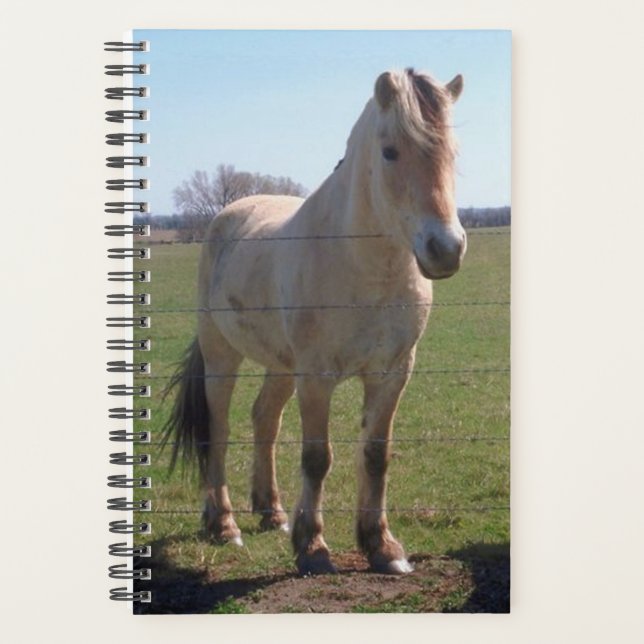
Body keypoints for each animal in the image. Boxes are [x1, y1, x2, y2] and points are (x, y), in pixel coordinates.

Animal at [163, 68, 466, 575]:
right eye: (390, 151)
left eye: (453, 153)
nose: (445, 249)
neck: (362, 263)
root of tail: (228, 216)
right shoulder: (317, 377)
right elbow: (317, 457)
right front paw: (313, 548)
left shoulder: (392, 374)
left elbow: (376, 454)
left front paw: (382, 547)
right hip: (223, 357)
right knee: (219, 428)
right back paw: (224, 524)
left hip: (281, 366)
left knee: (264, 418)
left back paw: (271, 511)